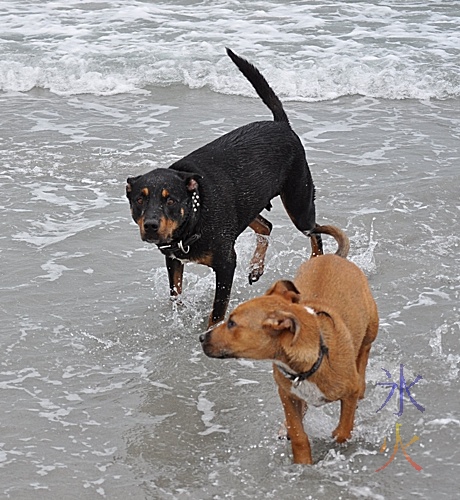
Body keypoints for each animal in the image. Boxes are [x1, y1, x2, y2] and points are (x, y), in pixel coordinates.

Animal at [125, 48, 320, 326]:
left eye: (170, 200)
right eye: (139, 200)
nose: (151, 225)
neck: (194, 217)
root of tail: (282, 124)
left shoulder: (226, 263)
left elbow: (218, 310)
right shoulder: (173, 259)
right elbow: (176, 294)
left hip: (298, 202)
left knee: (315, 233)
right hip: (247, 203)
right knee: (266, 225)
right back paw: (256, 267)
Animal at [200, 226, 378, 464]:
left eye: (232, 323)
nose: (202, 338)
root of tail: (335, 257)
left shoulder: (347, 394)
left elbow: (343, 430)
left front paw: (336, 441)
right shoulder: (286, 394)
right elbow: (298, 432)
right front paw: (302, 462)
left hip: (371, 326)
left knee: (364, 353)